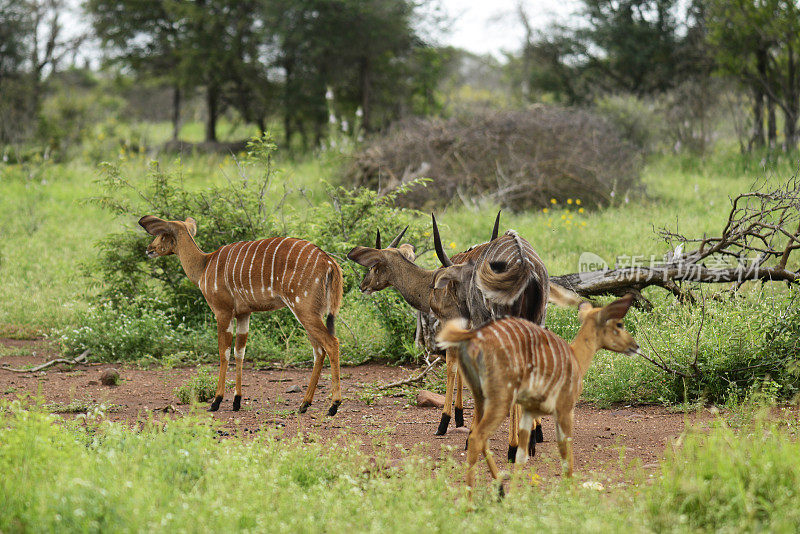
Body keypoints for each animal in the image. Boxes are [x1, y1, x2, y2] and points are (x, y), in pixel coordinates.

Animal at [138, 216, 344, 416]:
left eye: (162, 234)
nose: (149, 249)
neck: (204, 265)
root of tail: (330, 263)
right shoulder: (244, 314)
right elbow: (240, 352)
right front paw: (236, 401)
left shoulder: (223, 312)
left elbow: (224, 353)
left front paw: (216, 401)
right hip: (311, 312)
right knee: (319, 351)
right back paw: (304, 405)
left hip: (303, 308)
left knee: (331, 343)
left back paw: (333, 405)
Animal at [434, 296, 640, 492]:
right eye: (619, 324)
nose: (635, 346)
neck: (575, 357)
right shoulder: (565, 409)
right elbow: (566, 454)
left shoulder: (529, 411)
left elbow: (521, 455)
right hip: (501, 399)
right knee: (477, 437)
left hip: (480, 397)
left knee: (476, 436)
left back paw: (500, 490)